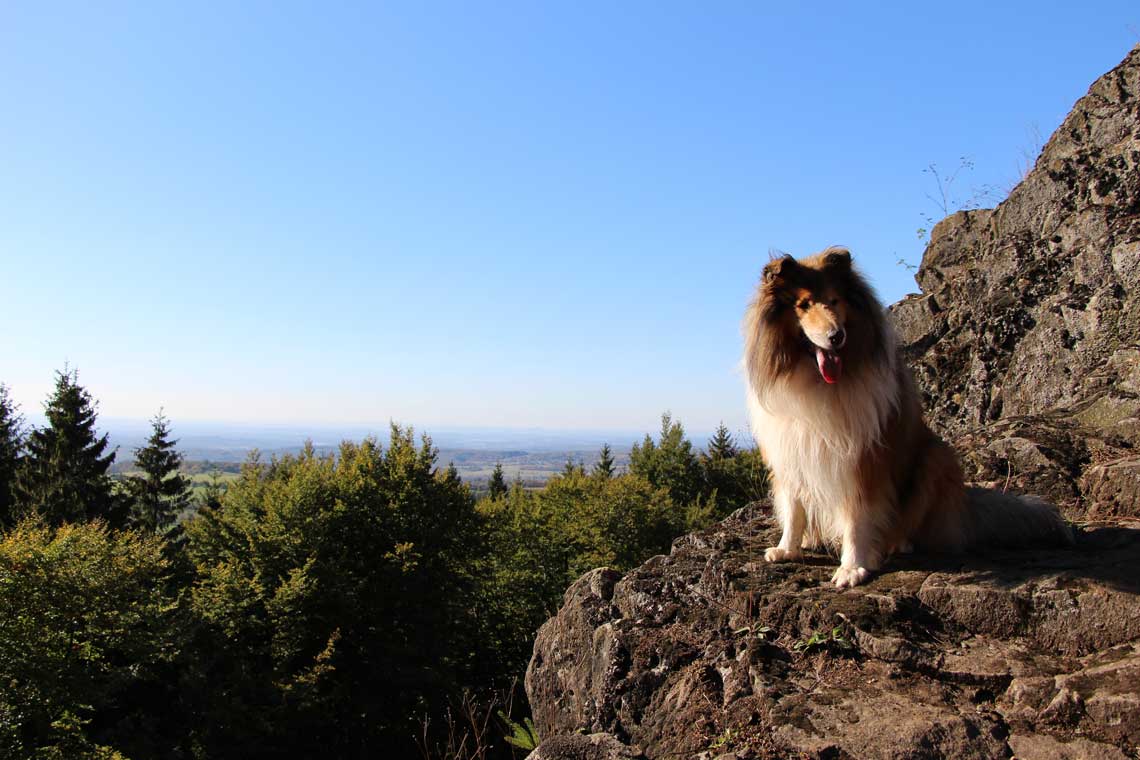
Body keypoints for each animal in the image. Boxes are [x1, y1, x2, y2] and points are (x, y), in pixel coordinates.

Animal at [743, 247, 1071, 592]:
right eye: (804, 305)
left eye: (835, 300)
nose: (836, 336)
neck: (817, 382)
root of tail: (965, 510)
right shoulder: (790, 451)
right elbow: (794, 508)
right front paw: (787, 549)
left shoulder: (863, 459)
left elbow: (857, 514)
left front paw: (853, 567)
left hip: (936, 457)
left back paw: (899, 543)